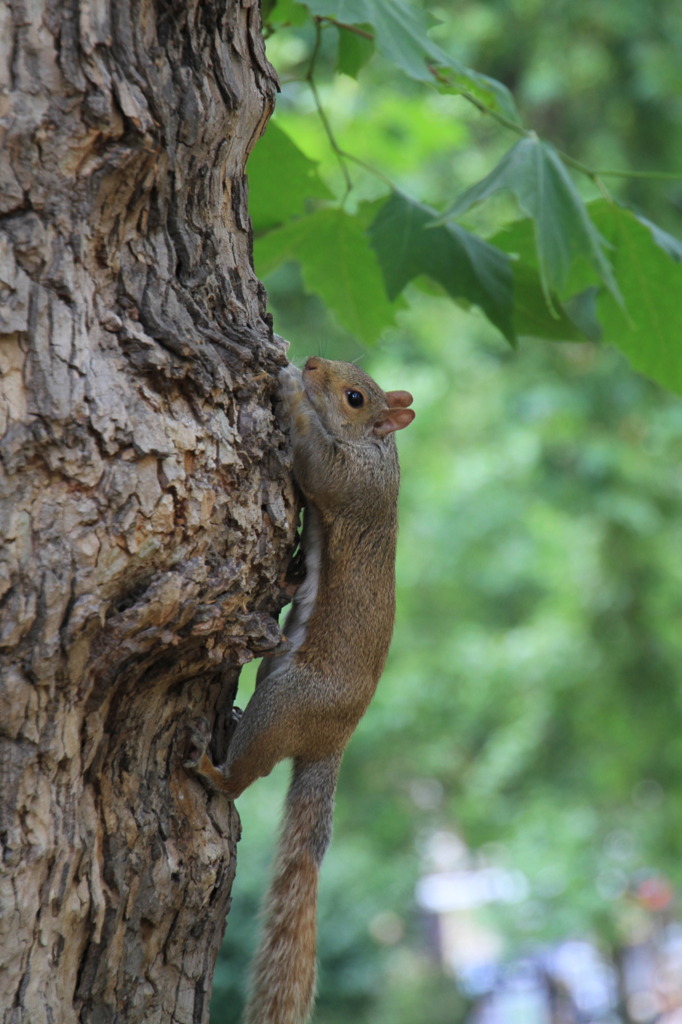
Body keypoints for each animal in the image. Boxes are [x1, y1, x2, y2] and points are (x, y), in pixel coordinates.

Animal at [183, 356, 411, 1019]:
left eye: (355, 396)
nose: (311, 363)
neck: (377, 451)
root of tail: (333, 740)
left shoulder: (350, 484)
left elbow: (314, 464)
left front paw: (289, 392)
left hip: (285, 701)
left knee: (244, 776)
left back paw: (213, 770)